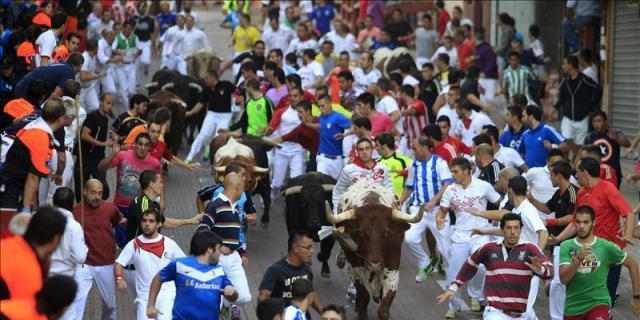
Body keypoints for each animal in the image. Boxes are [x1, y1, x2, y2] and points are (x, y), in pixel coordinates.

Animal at [328, 180, 422, 320]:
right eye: (360, 232)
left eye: (387, 232)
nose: (374, 263)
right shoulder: (354, 269)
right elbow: (364, 296)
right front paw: (361, 312)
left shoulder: (393, 267)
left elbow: (383, 308)